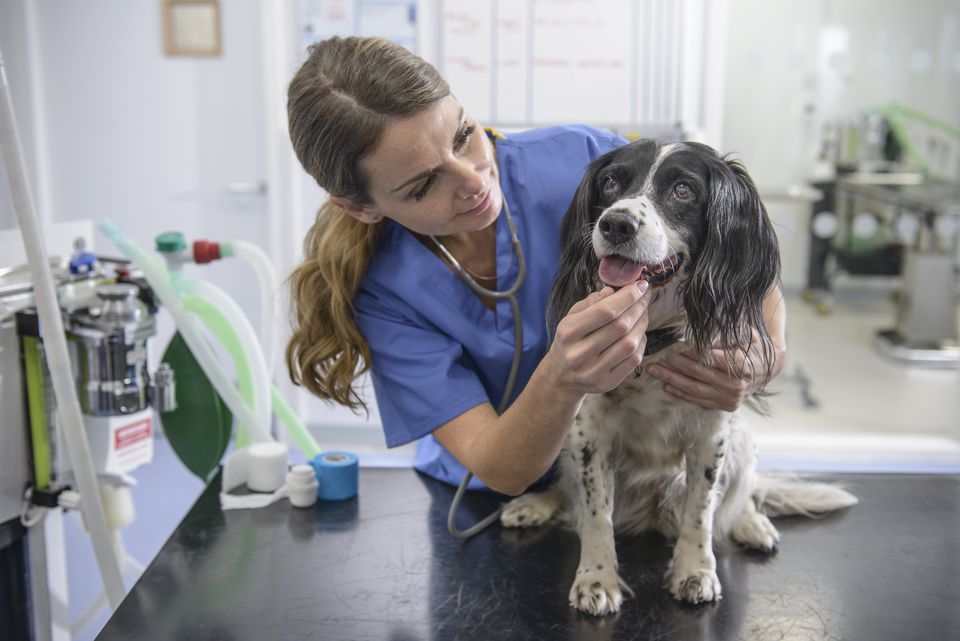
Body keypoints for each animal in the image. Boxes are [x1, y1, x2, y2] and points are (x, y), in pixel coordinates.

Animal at [498, 140, 860, 616]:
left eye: (684, 190)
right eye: (610, 182)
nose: (616, 223)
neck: (655, 336)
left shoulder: (712, 432)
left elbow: (700, 514)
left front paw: (695, 571)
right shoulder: (589, 431)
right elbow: (595, 515)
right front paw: (596, 578)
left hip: (741, 438)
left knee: (744, 494)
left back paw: (752, 524)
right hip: (566, 441)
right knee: (569, 493)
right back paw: (535, 504)